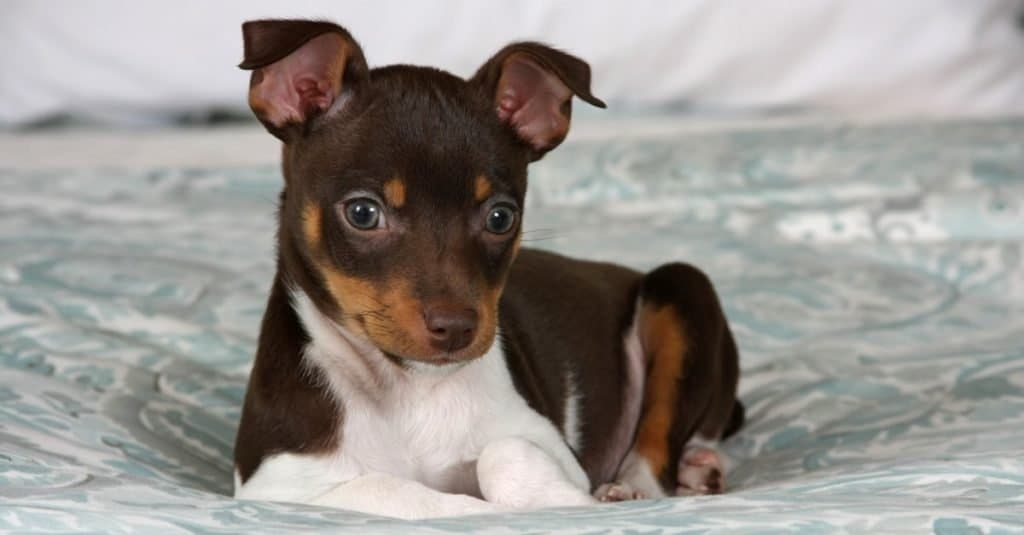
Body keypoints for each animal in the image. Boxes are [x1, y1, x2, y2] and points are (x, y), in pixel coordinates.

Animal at [232, 19, 745, 516]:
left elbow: (502, 454)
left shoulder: (551, 446)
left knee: (659, 448)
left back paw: (653, 482)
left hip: (682, 287)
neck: (406, 388)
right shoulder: (276, 486)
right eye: (362, 213)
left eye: (501, 217)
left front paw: (563, 502)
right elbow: (397, 491)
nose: (457, 327)